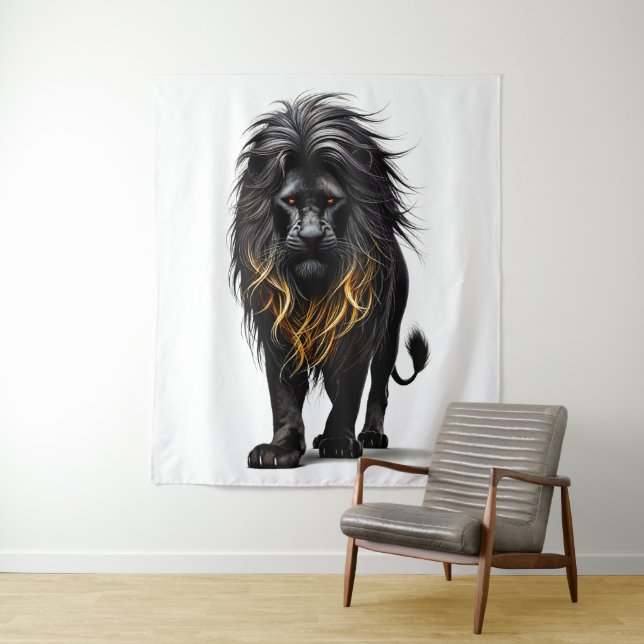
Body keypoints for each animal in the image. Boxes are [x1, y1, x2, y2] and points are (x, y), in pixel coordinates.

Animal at [229, 92, 429, 469]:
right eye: (290, 200)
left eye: (332, 200)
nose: (310, 237)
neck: (312, 287)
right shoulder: (276, 326)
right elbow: (283, 395)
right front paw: (280, 449)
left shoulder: (356, 331)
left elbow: (350, 388)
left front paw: (339, 442)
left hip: (389, 336)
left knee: (378, 388)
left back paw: (369, 435)